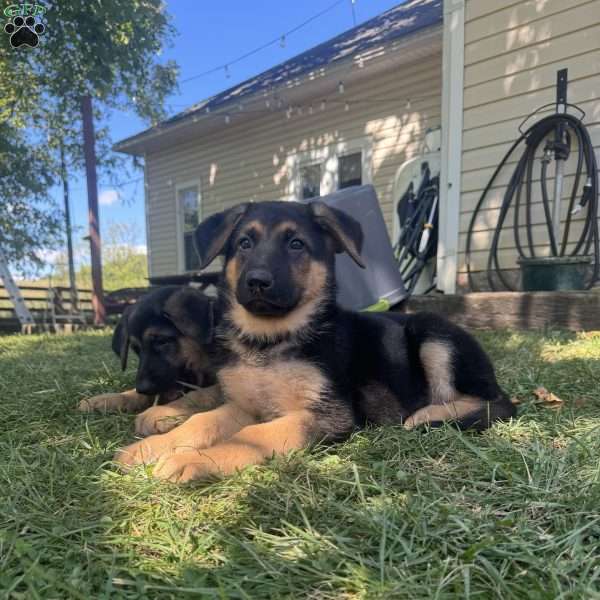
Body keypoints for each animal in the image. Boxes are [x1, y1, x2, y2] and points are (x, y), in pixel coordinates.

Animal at [117, 199, 516, 480]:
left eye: (296, 244)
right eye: (244, 243)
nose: (257, 281)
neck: (270, 341)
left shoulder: (326, 415)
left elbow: (256, 435)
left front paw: (193, 460)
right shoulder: (243, 404)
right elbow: (202, 421)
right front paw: (154, 447)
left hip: (434, 335)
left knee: (492, 402)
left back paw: (427, 414)